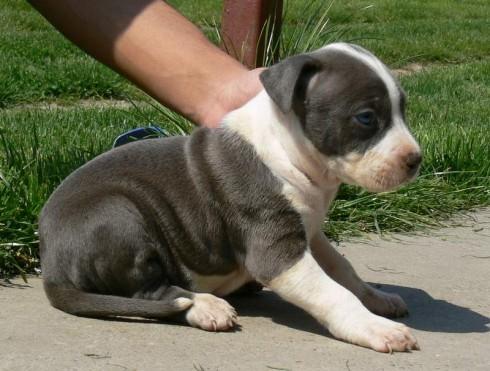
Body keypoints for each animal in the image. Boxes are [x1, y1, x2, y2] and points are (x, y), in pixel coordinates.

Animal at [39, 42, 422, 354]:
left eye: (404, 110)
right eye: (366, 118)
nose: (415, 160)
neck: (287, 150)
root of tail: (50, 263)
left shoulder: (310, 230)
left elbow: (342, 268)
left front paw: (376, 299)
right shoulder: (275, 248)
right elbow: (331, 292)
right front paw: (375, 328)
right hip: (118, 213)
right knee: (149, 293)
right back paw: (204, 306)